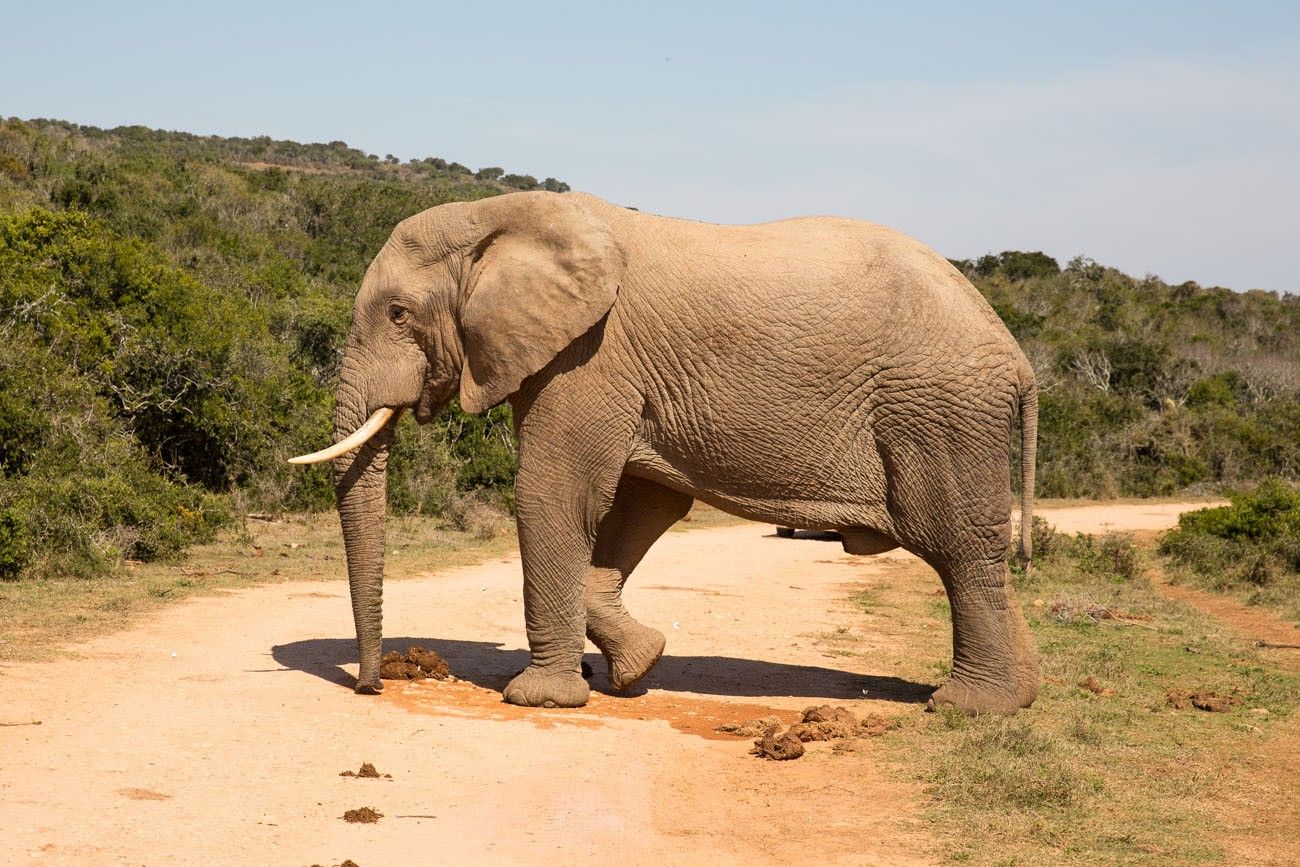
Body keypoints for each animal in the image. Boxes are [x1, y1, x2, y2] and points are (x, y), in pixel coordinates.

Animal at [289, 193, 1040, 717]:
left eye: (396, 314)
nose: (371, 687)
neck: (498, 217)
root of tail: (1018, 357)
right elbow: (648, 499)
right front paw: (638, 669)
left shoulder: (590, 356)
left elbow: (553, 492)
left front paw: (539, 699)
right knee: (977, 552)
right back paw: (1023, 695)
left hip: (938, 411)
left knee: (959, 547)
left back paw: (970, 707)